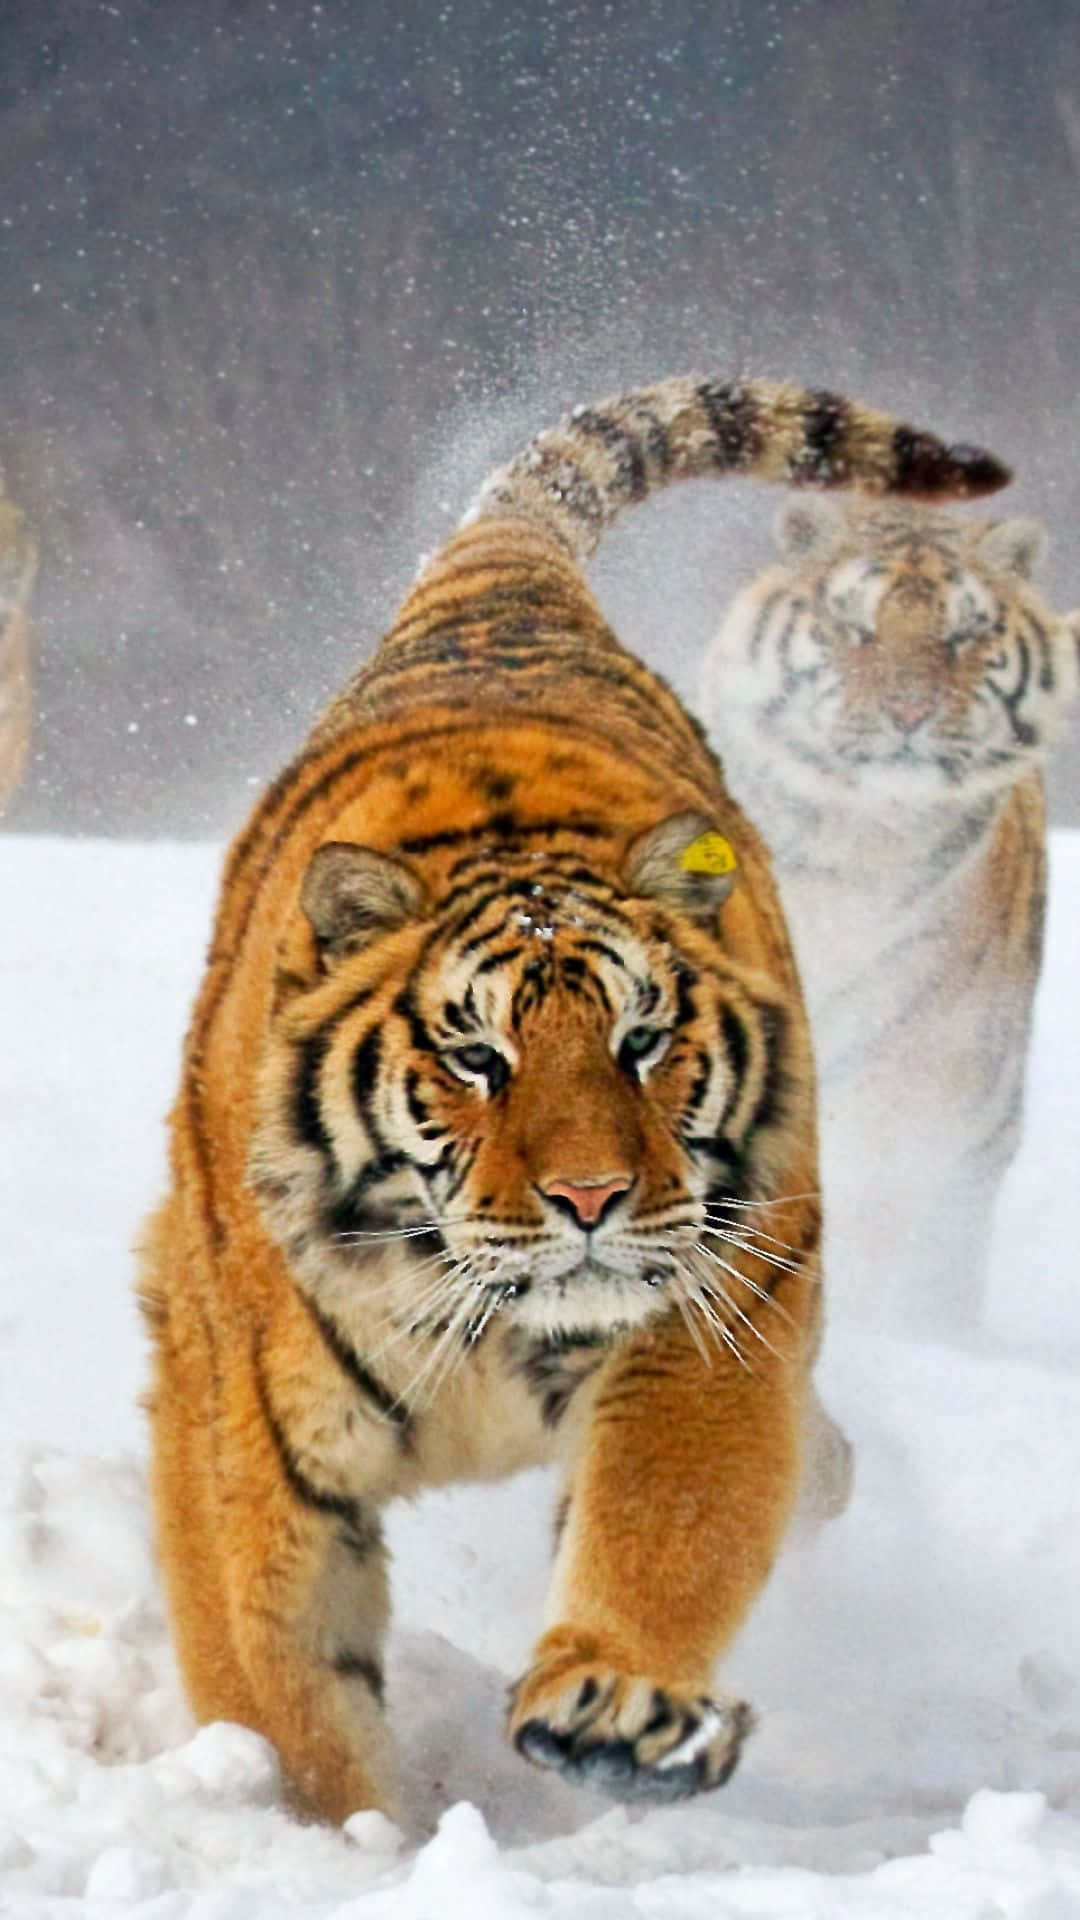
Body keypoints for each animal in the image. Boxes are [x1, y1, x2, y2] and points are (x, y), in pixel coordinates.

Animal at [136, 376, 1008, 1825]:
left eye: (642, 1042)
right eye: (477, 1058)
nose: (592, 1197)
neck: (475, 1317)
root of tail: (508, 589)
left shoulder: (704, 1328)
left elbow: (665, 1527)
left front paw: (615, 1708)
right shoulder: (241, 1425)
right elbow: (282, 1686)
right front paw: (337, 1830)